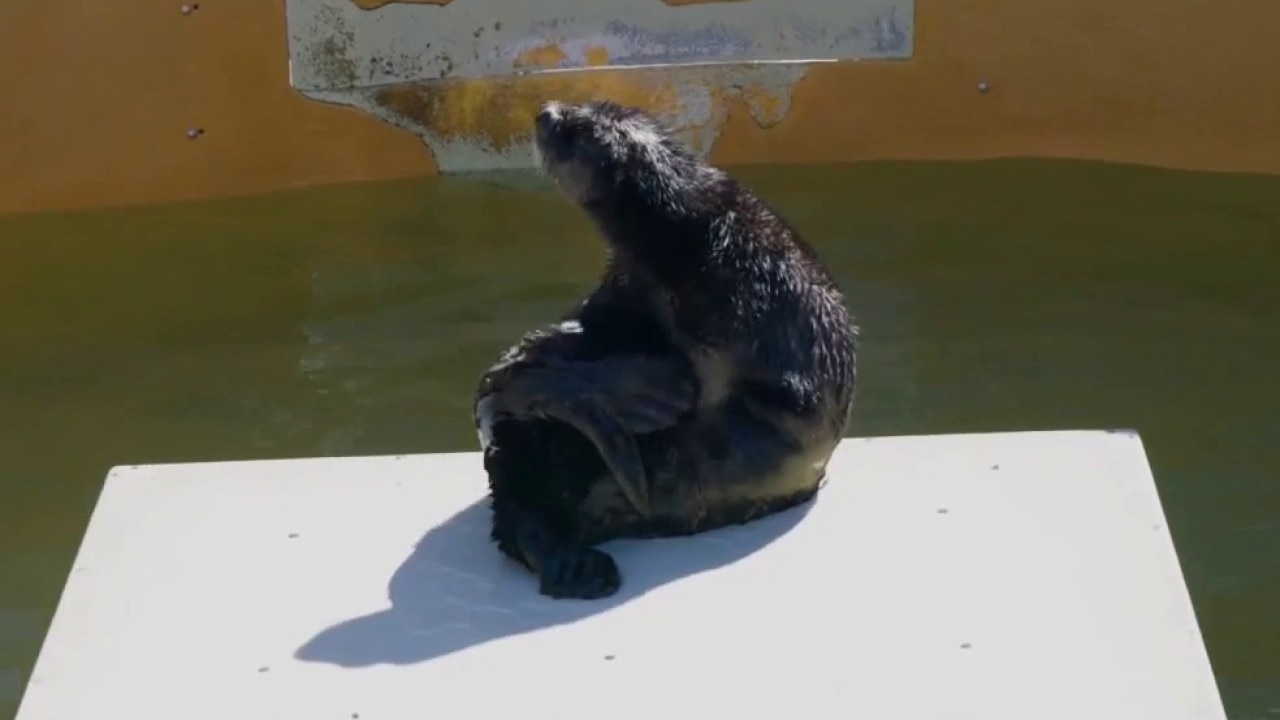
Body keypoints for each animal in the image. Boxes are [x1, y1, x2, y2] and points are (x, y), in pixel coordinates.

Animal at [473, 100, 858, 600]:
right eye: (582, 104)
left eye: (577, 127)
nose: (545, 112)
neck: (688, 238)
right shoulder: (626, 288)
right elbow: (592, 333)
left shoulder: (748, 313)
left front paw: (656, 391)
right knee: (524, 508)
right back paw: (576, 564)